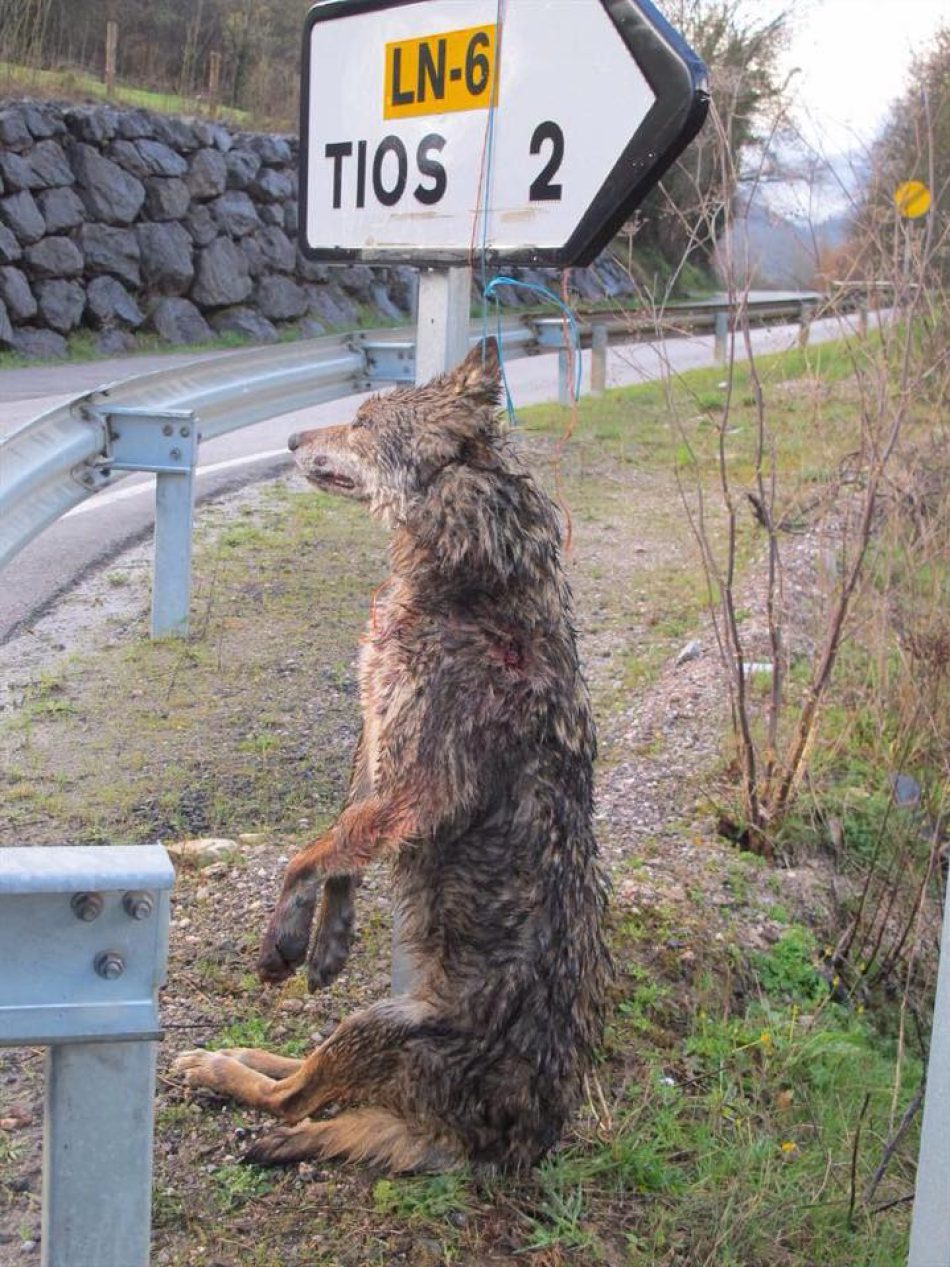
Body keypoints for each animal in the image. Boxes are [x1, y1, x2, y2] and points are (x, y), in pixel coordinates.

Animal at [176, 342, 610, 1170]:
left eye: (360, 420)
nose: (289, 439)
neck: (475, 577)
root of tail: (502, 1147)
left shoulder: (421, 788)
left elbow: (306, 854)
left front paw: (284, 938)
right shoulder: (374, 743)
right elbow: (340, 844)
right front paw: (328, 942)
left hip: (376, 1026)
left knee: (295, 1096)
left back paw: (223, 1069)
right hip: (371, 1024)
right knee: (306, 1077)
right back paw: (234, 1054)